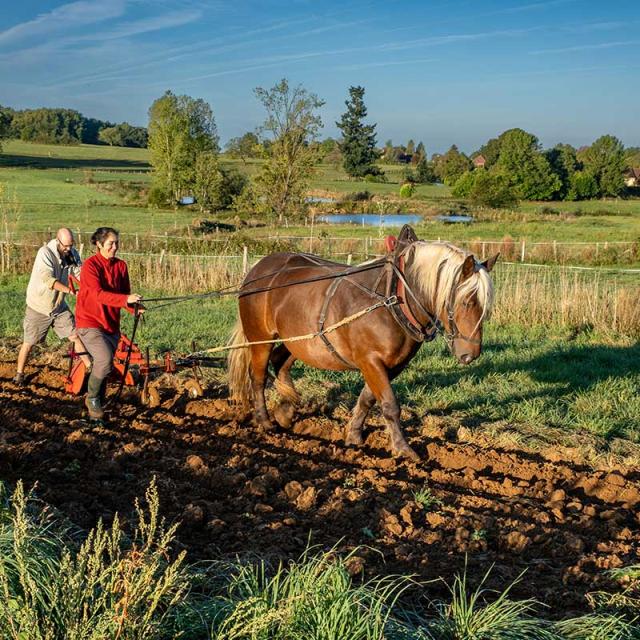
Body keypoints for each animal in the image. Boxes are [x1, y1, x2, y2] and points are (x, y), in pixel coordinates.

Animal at [228, 228, 498, 462]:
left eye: (485, 305)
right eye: (467, 301)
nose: (470, 355)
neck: (393, 299)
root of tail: (257, 270)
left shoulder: (392, 365)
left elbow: (368, 399)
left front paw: (354, 435)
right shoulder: (370, 360)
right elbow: (390, 404)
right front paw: (403, 448)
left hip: (299, 340)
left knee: (280, 362)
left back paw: (287, 409)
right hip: (260, 337)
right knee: (258, 376)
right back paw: (265, 421)